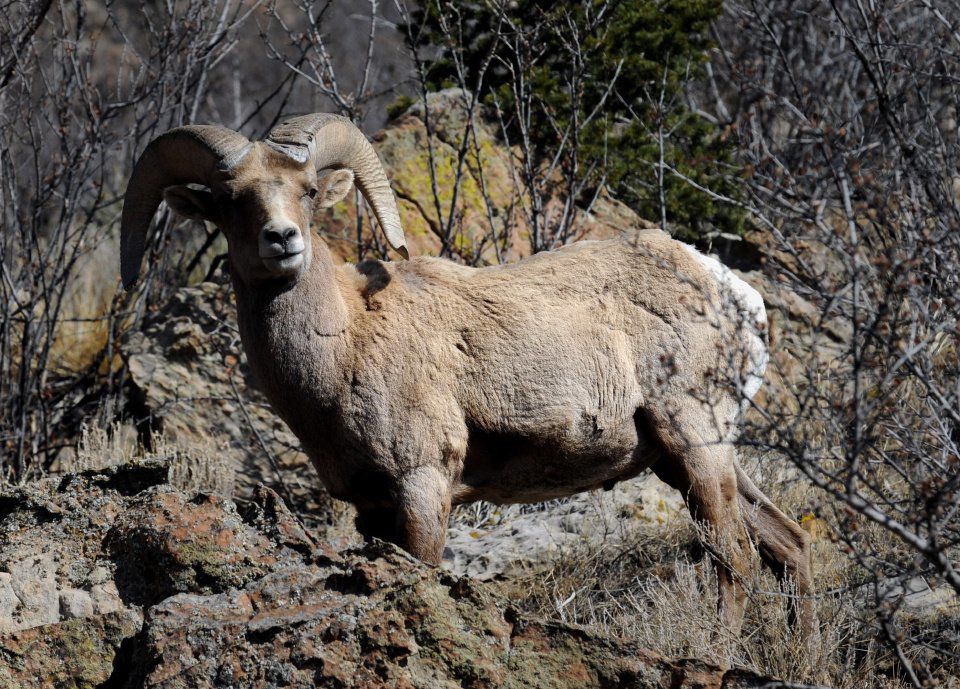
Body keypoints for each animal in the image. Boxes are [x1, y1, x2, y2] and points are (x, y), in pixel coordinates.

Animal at [118, 113, 808, 636]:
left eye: (309, 191)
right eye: (231, 202)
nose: (283, 239)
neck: (345, 346)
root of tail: (733, 292)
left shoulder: (423, 486)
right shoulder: (373, 509)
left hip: (695, 445)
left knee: (736, 558)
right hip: (687, 457)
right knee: (789, 544)